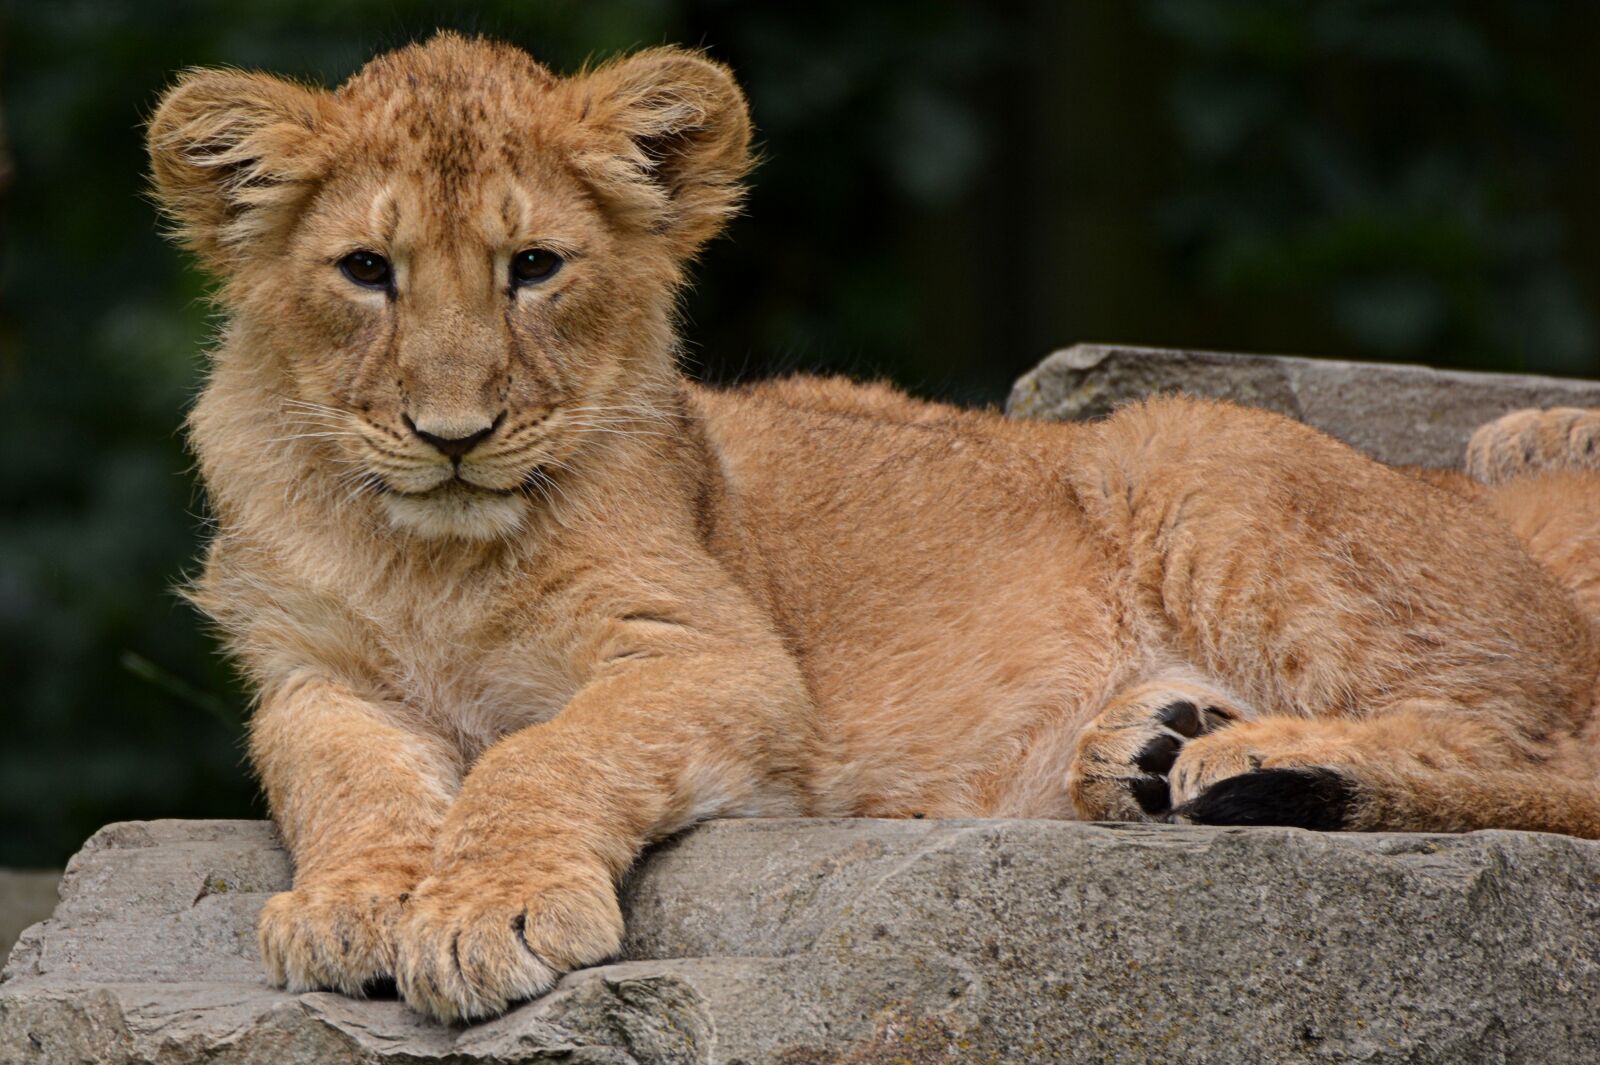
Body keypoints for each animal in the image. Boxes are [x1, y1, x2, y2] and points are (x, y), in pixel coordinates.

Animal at [146, 32, 1600, 1023]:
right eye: (366, 272)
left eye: (534, 268)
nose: (454, 431)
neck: (426, 551)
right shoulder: (308, 671)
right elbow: (329, 771)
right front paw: (350, 902)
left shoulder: (721, 655)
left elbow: (546, 753)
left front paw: (479, 909)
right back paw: (1144, 744)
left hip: (1196, 464)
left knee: (1530, 741)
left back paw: (1250, 754)